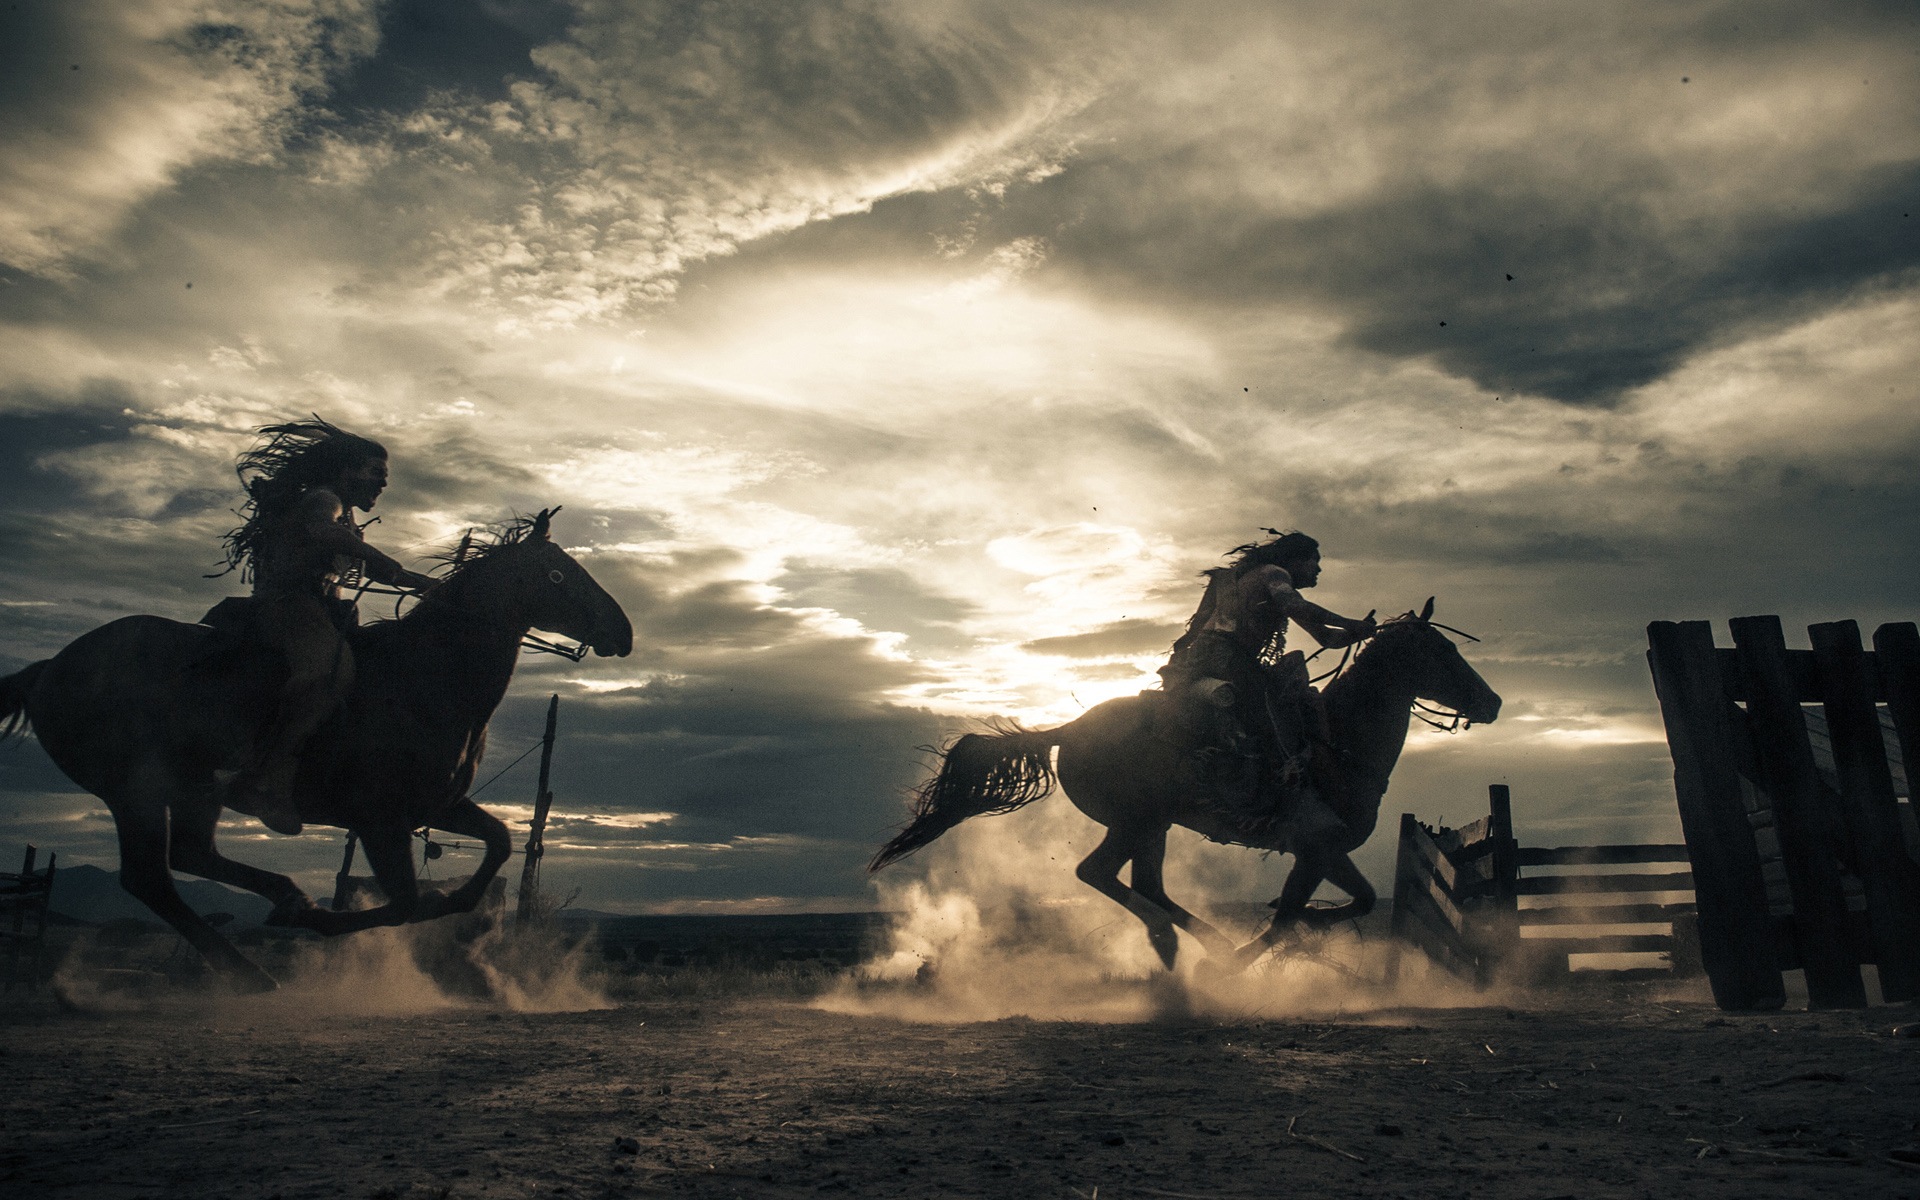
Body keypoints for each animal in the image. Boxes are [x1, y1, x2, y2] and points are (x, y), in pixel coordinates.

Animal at [0, 510, 633, 990]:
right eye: (559, 575)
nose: (624, 631)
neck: (421, 676)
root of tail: (47, 669)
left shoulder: (438, 806)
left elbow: (497, 843)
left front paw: (467, 920)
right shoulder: (380, 821)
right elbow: (406, 903)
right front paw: (326, 921)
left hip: (191, 791)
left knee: (184, 860)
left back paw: (268, 933)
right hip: (136, 792)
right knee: (151, 878)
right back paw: (266, 945)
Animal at [871, 602, 1497, 967]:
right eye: (1443, 651)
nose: (1492, 702)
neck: (1337, 743)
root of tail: (1071, 728)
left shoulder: (1324, 851)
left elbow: (1358, 899)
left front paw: (1298, 932)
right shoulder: (1314, 849)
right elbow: (1291, 915)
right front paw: (1256, 953)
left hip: (1156, 825)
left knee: (1143, 883)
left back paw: (1189, 944)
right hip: (1137, 820)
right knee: (1100, 874)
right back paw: (1185, 944)